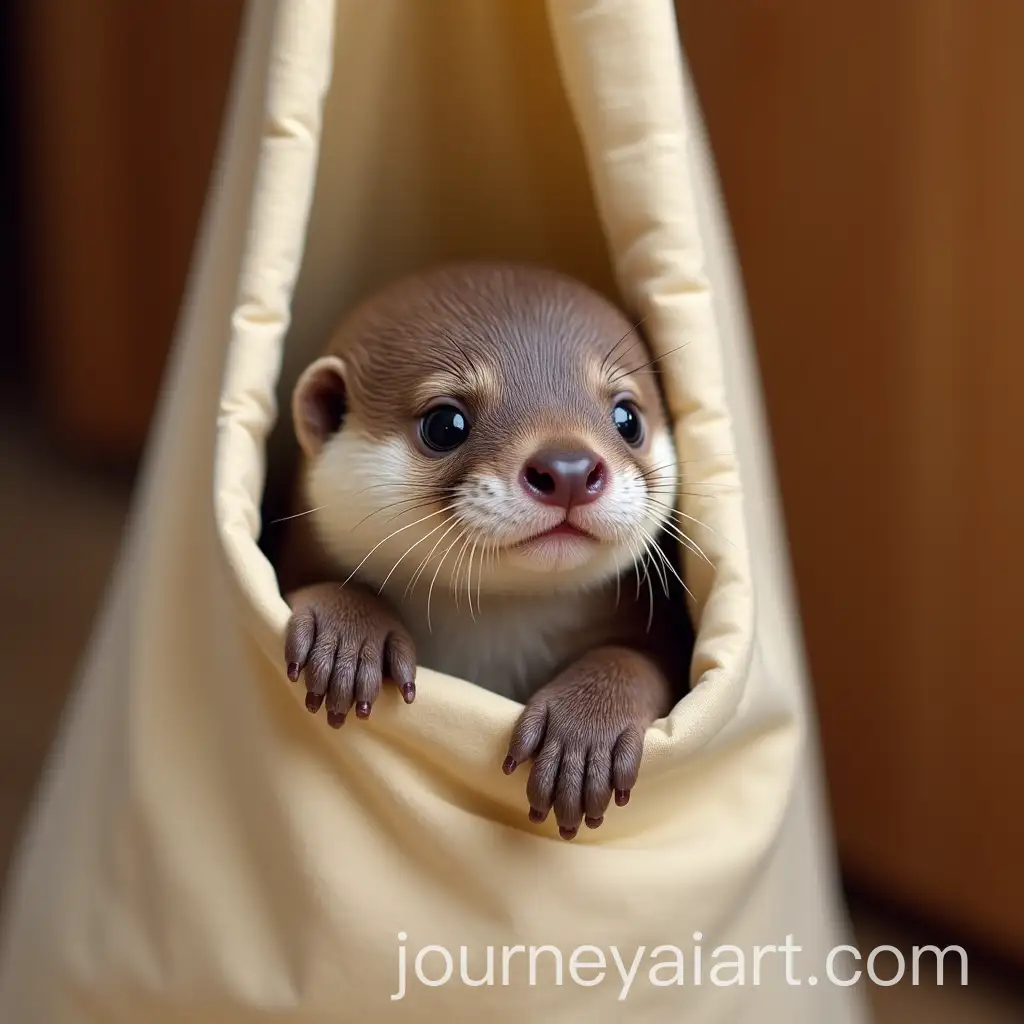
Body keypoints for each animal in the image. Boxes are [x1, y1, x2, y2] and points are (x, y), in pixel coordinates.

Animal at [277, 262, 694, 839]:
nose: (568, 469)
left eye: (627, 417)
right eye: (444, 423)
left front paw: (585, 730)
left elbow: (637, 658)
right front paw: (347, 631)